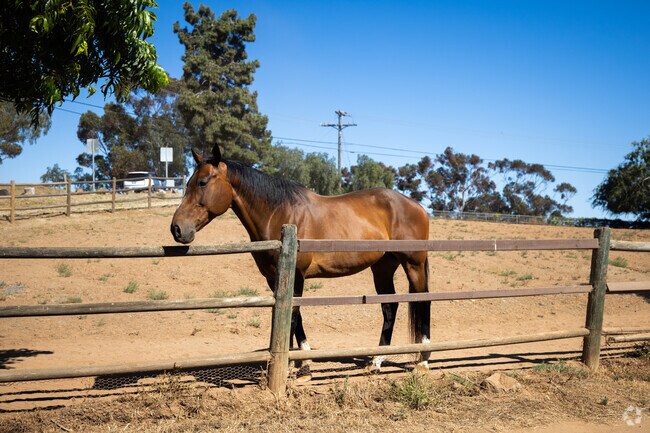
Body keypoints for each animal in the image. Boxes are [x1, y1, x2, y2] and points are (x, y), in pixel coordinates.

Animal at [171, 145, 431, 371]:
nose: (177, 228)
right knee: (390, 307)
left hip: (413, 264)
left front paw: (293, 366)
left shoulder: (296, 275)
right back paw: (377, 360)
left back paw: (424, 360)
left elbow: (293, 316)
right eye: (188, 182)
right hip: (383, 267)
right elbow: (290, 316)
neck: (280, 213)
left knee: (424, 301)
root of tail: (418, 206)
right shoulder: (275, 278)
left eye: (203, 182)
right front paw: (301, 360)